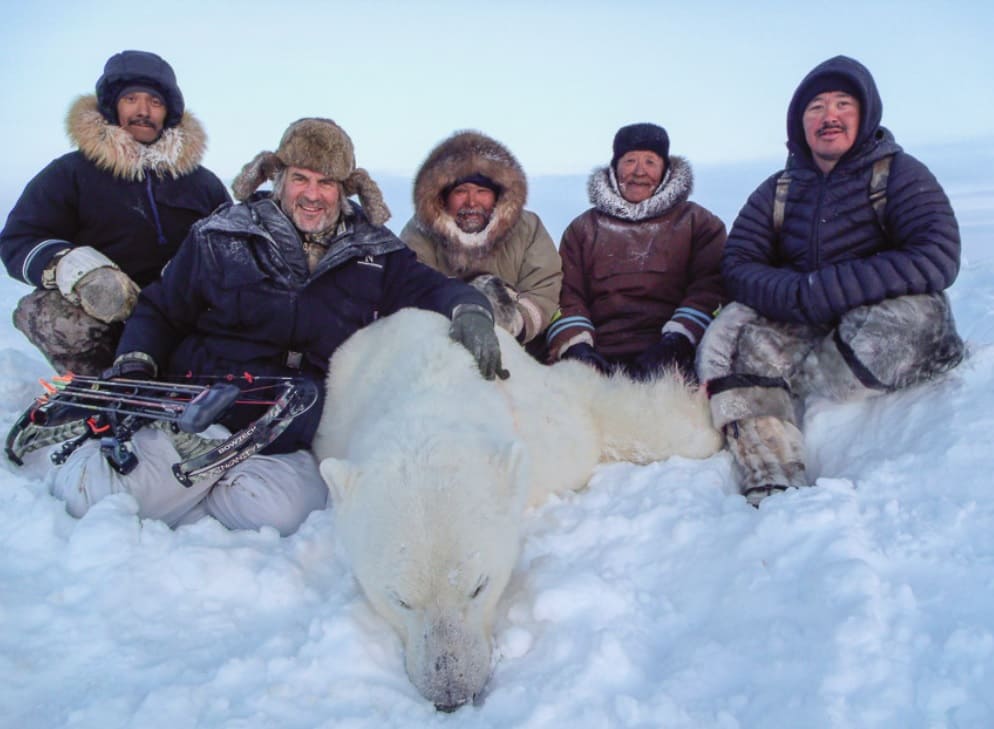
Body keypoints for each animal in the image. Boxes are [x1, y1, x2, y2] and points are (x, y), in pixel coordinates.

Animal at [314, 308, 716, 712]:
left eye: (479, 586)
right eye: (400, 599)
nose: (452, 693)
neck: (424, 398)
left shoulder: (547, 433)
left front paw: (704, 426)